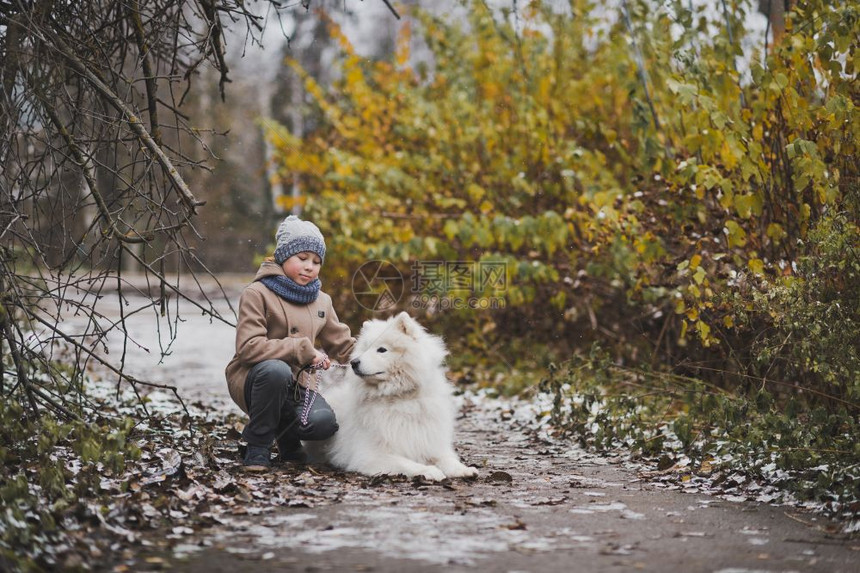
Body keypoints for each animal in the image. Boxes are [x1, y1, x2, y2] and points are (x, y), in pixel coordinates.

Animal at [310, 310, 480, 480]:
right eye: (365, 349)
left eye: (381, 350)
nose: (354, 362)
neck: (401, 398)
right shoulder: (372, 455)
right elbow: (407, 464)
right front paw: (429, 471)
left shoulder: (429, 443)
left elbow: (447, 459)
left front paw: (464, 469)